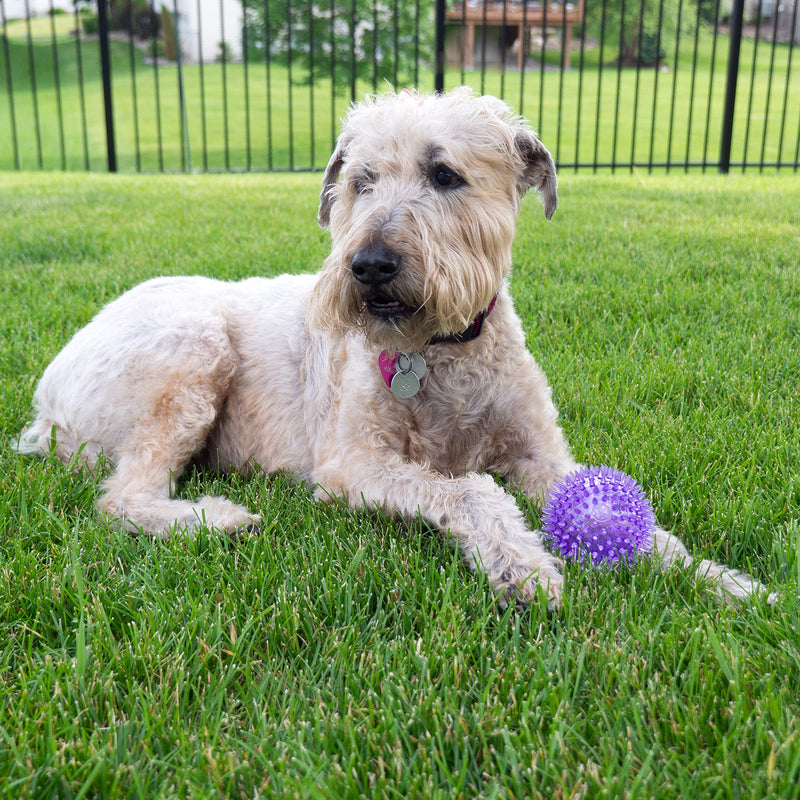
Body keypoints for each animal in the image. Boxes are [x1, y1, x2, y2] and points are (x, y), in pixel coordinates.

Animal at [17, 86, 768, 608]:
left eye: (445, 175)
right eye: (362, 181)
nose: (369, 265)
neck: (442, 351)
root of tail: (45, 404)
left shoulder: (543, 454)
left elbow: (637, 523)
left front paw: (723, 581)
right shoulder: (352, 464)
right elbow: (469, 489)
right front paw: (523, 565)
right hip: (191, 352)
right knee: (123, 495)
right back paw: (215, 518)